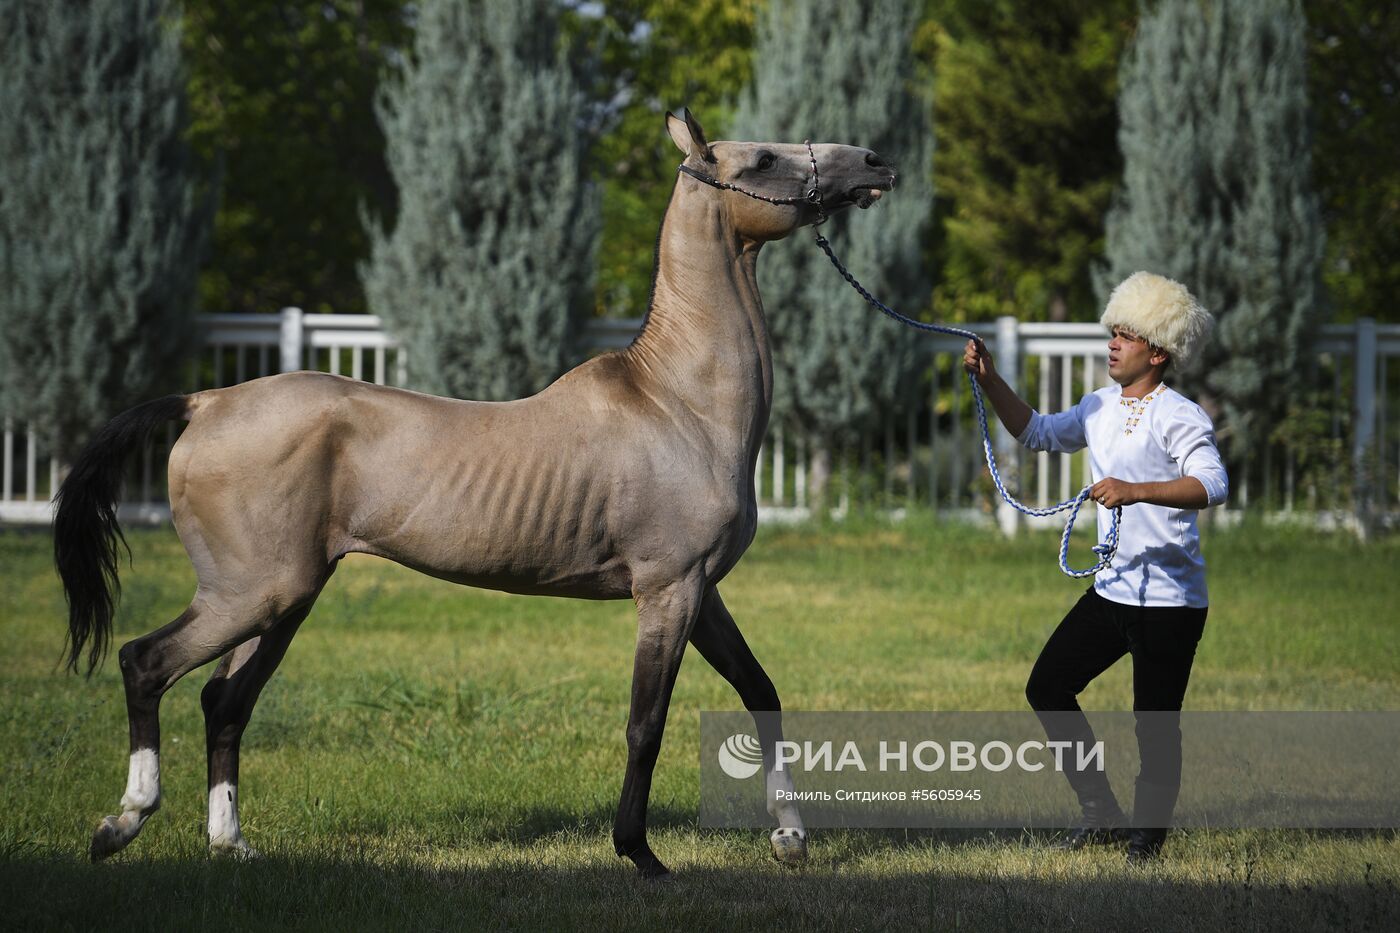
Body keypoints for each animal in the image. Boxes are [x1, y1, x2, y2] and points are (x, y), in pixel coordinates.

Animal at [57, 107, 896, 874]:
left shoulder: (704, 592)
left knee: (224, 702)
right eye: (762, 159)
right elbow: (645, 724)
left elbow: (762, 691)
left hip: (283, 600)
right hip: (250, 594)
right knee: (144, 663)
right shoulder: (669, 591)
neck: (677, 403)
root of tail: (206, 402)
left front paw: (790, 837)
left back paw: (231, 843)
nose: (874, 162)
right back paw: (122, 822)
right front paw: (640, 853)